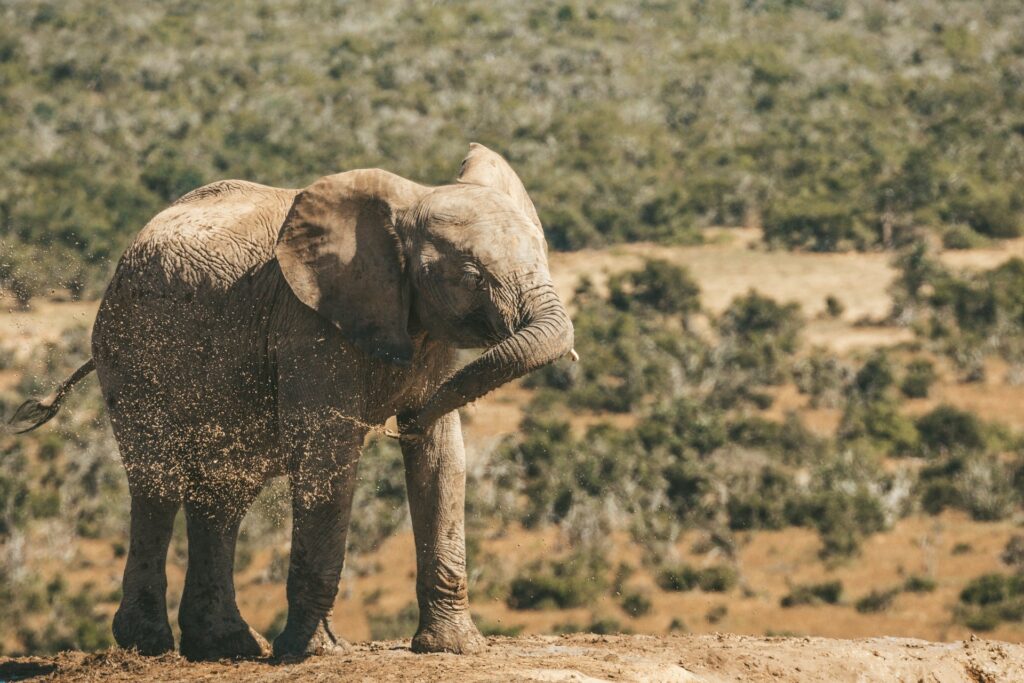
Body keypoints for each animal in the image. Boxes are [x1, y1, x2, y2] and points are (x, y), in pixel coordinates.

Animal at [9, 145, 577, 663]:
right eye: (472, 277)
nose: (399, 424)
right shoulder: (309, 329)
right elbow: (329, 456)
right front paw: (311, 651)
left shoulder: (428, 340)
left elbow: (442, 460)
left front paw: (451, 648)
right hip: (132, 354)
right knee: (158, 486)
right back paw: (149, 647)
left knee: (223, 494)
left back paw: (227, 647)